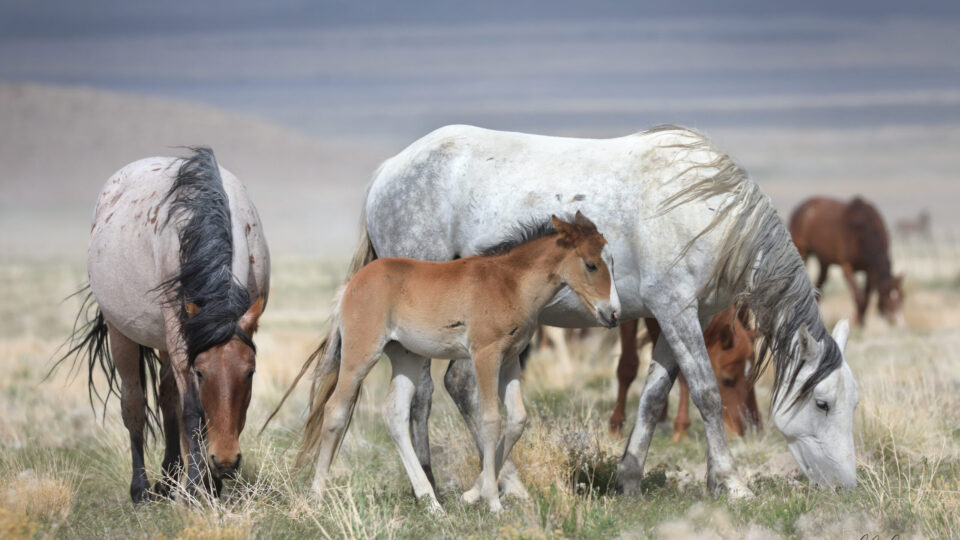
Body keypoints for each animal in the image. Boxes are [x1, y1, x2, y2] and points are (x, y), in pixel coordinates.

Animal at [55, 148, 269, 503]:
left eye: (250, 372)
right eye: (201, 373)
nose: (226, 461)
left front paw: (208, 483)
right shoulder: (182, 339)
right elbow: (193, 412)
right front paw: (198, 487)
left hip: (165, 342)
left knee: (167, 398)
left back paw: (170, 478)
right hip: (123, 334)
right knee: (134, 405)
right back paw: (141, 488)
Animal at [298, 213, 618, 513]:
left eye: (612, 261)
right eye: (591, 264)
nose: (613, 314)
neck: (510, 284)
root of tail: (351, 285)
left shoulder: (511, 359)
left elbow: (517, 419)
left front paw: (472, 494)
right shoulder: (485, 354)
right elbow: (491, 420)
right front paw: (493, 501)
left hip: (407, 357)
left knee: (394, 414)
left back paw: (431, 502)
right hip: (360, 355)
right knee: (335, 411)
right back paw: (315, 497)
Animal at [789, 196, 904, 326]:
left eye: (902, 297)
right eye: (887, 299)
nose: (899, 323)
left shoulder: (870, 271)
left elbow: (867, 297)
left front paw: (861, 322)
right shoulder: (847, 266)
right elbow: (859, 297)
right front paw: (856, 322)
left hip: (824, 261)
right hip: (802, 251)